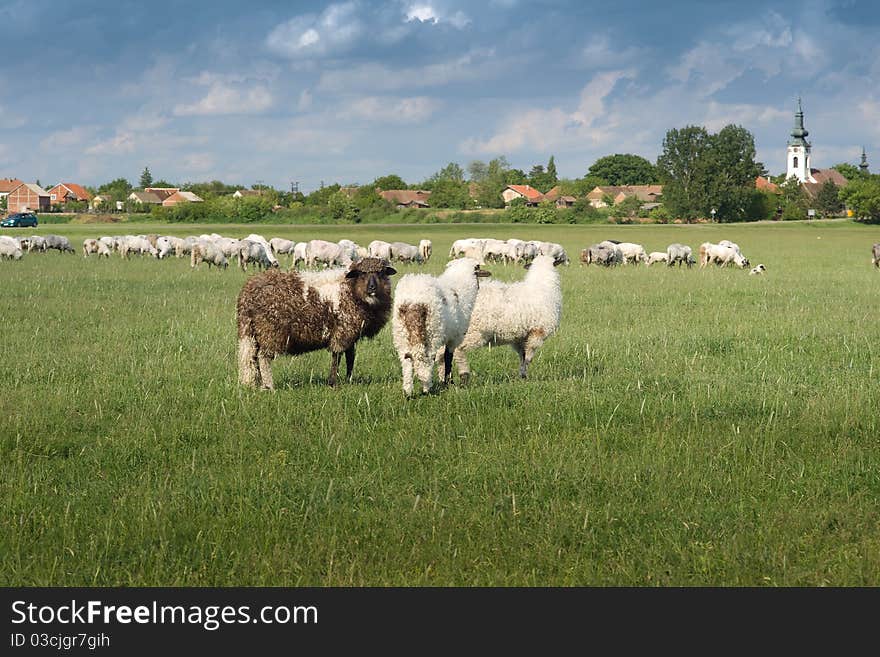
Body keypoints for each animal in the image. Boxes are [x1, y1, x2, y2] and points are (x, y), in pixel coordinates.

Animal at [235, 256, 398, 390]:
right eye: (362, 273)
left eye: (381, 273)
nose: (372, 288)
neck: (351, 289)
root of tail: (247, 293)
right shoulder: (342, 332)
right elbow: (337, 357)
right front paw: (333, 383)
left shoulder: (350, 335)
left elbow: (350, 357)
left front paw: (349, 379)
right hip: (270, 332)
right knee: (263, 358)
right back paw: (269, 386)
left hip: (253, 333)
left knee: (252, 358)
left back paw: (257, 384)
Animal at [394, 258, 492, 394]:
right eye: (477, 267)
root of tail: (414, 302)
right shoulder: (454, 338)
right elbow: (448, 357)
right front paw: (448, 382)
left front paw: (444, 381)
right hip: (431, 331)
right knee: (425, 359)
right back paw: (426, 388)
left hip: (401, 333)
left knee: (406, 361)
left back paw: (408, 391)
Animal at [454, 254, 564, 382]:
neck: (543, 286)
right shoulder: (537, 332)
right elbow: (528, 357)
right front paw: (524, 376)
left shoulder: (520, 337)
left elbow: (522, 356)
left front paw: (522, 376)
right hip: (472, 332)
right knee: (457, 350)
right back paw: (463, 376)